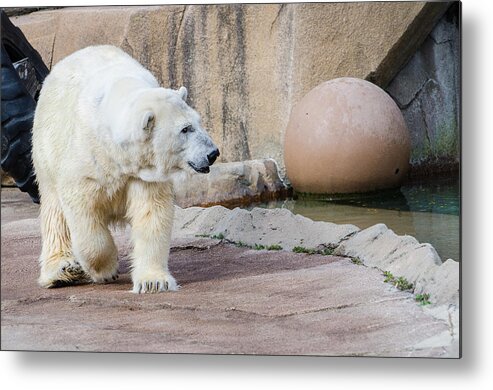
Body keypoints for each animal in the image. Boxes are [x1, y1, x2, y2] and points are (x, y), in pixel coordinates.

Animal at [32, 45, 219, 292]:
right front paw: (106, 269)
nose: (213, 153)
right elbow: (84, 213)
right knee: (55, 212)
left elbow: (152, 214)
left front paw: (153, 281)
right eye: (185, 129)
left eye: (198, 122)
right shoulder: (86, 160)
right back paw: (62, 271)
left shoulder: (145, 174)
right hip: (47, 149)